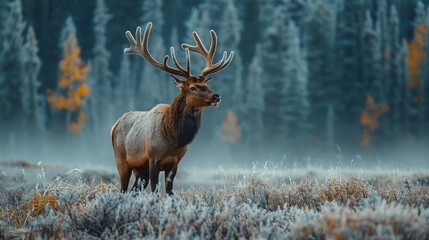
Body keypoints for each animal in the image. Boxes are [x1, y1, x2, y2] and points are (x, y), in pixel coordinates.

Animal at [108, 22, 232, 195]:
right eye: (193, 88)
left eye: (207, 85)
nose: (216, 96)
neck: (173, 139)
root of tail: (114, 125)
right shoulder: (152, 159)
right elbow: (155, 191)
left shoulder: (174, 163)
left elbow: (169, 192)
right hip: (122, 161)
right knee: (123, 190)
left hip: (140, 171)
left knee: (134, 191)